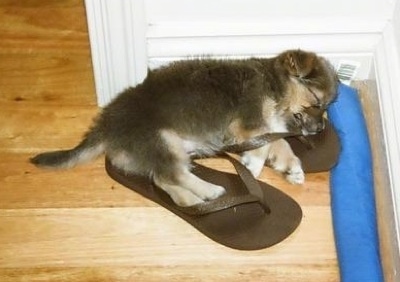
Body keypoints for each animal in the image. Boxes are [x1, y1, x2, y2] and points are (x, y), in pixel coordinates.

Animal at [31, 49, 338, 207]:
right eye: (316, 101)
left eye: (326, 106)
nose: (321, 128)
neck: (273, 86)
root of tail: (106, 125)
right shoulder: (247, 127)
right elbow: (265, 148)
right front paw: (252, 167)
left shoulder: (266, 127)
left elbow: (281, 143)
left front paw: (291, 169)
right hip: (163, 141)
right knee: (172, 174)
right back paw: (209, 191)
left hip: (160, 150)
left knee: (161, 179)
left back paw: (191, 199)